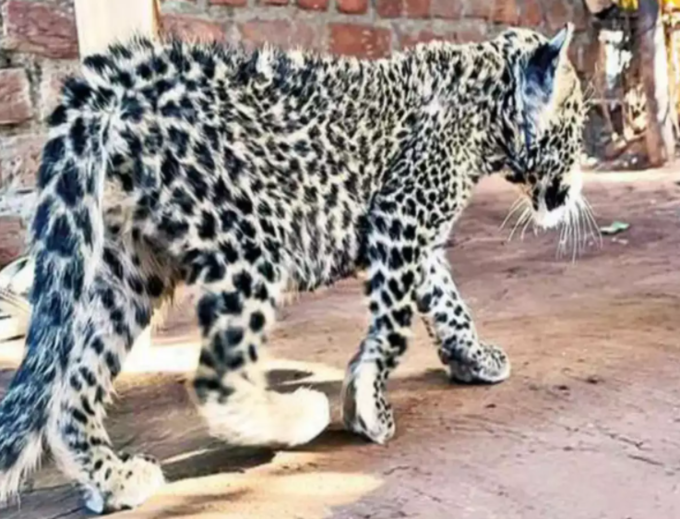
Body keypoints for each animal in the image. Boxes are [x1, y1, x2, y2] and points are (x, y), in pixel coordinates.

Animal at [0, 22, 584, 512]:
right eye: (575, 131)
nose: (574, 188)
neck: (486, 104)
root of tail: (121, 82)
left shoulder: (418, 239)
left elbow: (447, 302)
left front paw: (474, 358)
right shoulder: (399, 220)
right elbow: (395, 327)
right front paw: (368, 405)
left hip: (129, 266)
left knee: (72, 383)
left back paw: (112, 478)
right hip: (249, 243)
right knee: (218, 379)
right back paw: (297, 415)